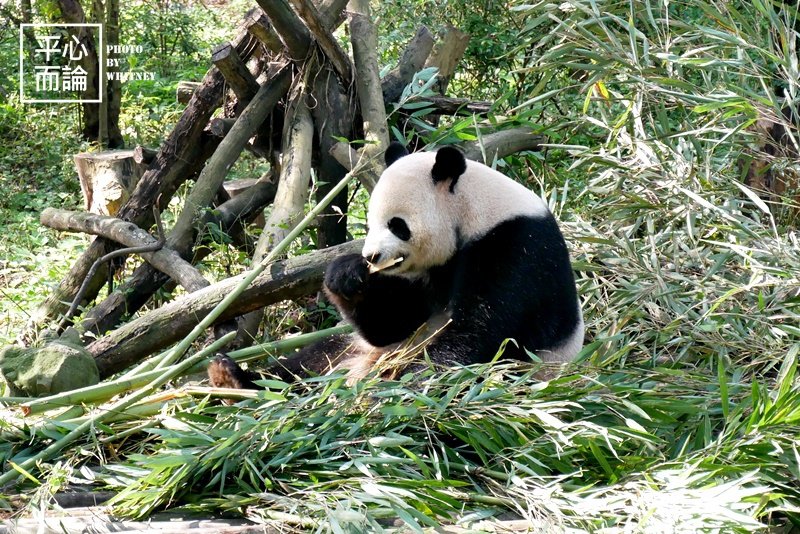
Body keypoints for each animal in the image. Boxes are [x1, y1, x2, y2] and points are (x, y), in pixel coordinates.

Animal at [206, 142, 580, 390]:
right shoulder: (429, 275)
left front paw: (414, 378)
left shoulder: (515, 246)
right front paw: (346, 276)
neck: (474, 210)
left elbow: (483, 331)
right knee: (310, 360)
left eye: (397, 225)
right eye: (370, 223)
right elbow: (395, 321)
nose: (372, 257)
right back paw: (233, 378)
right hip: (352, 349)